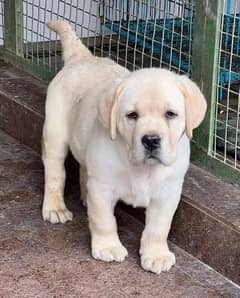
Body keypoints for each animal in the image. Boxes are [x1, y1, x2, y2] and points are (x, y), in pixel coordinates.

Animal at [41, 21, 206, 274]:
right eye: (132, 115)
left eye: (170, 114)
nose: (151, 139)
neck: (141, 168)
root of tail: (84, 56)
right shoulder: (102, 186)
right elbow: (104, 221)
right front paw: (108, 247)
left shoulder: (168, 191)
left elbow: (158, 227)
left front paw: (156, 254)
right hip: (55, 133)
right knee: (55, 173)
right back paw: (55, 208)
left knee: (84, 169)